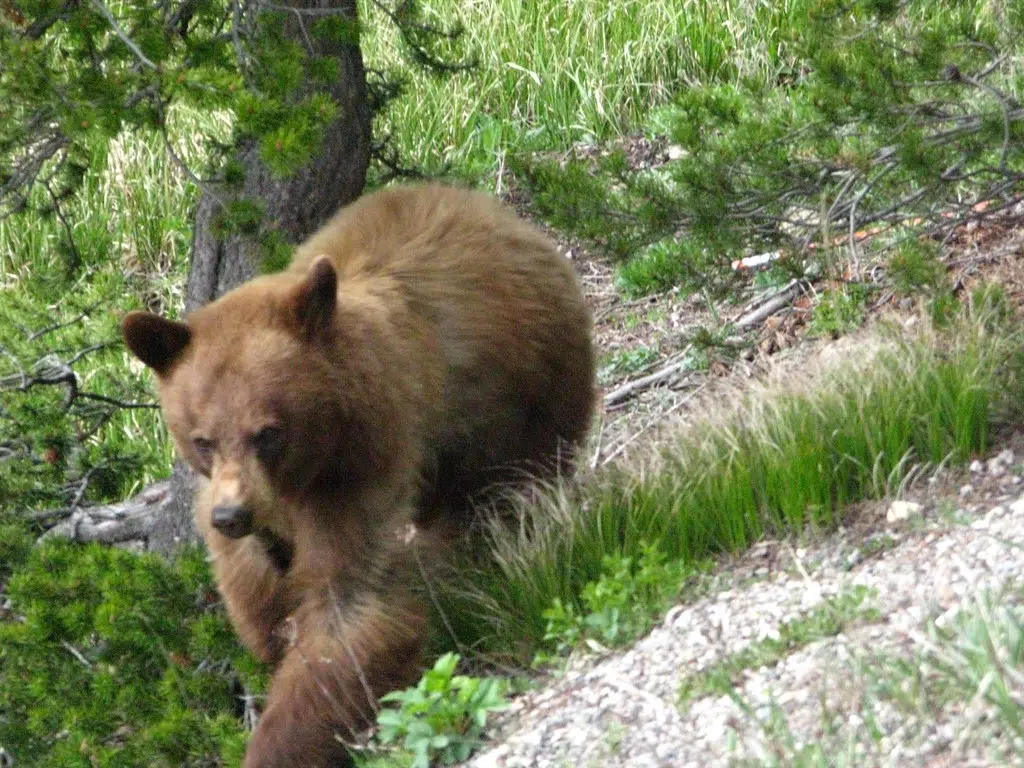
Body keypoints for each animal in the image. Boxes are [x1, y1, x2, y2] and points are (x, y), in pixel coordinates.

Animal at [120, 184, 597, 768]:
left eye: (268, 432)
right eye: (202, 438)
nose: (234, 515)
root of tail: (503, 216)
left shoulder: (358, 467)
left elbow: (349, 606)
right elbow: (255, 592)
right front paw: (269, 623)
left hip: (515, 405)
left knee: (500, 496)